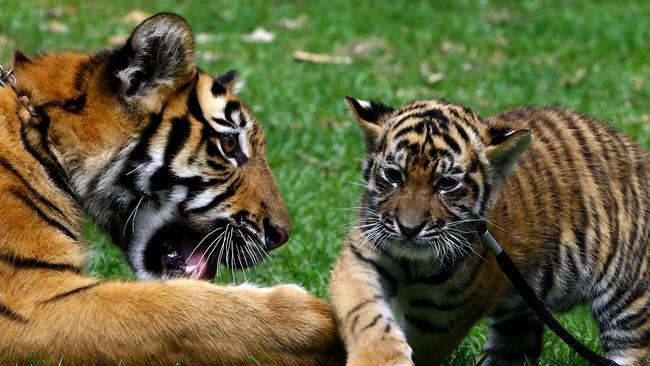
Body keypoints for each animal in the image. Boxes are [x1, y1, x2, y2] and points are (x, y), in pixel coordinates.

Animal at [0, 12, 342, 366]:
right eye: (229, 145)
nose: (280, 235)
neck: (45, 134)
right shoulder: (31, 297)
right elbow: (180, 310)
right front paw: (320, 316)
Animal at [332, 98, 644, 366]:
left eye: (446, 184)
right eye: (394, 176)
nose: (409, 228)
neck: (415, 263)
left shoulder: (440, 318)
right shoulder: (360, 261)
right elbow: (366, 314)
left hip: (630, 301)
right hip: (518, 317)